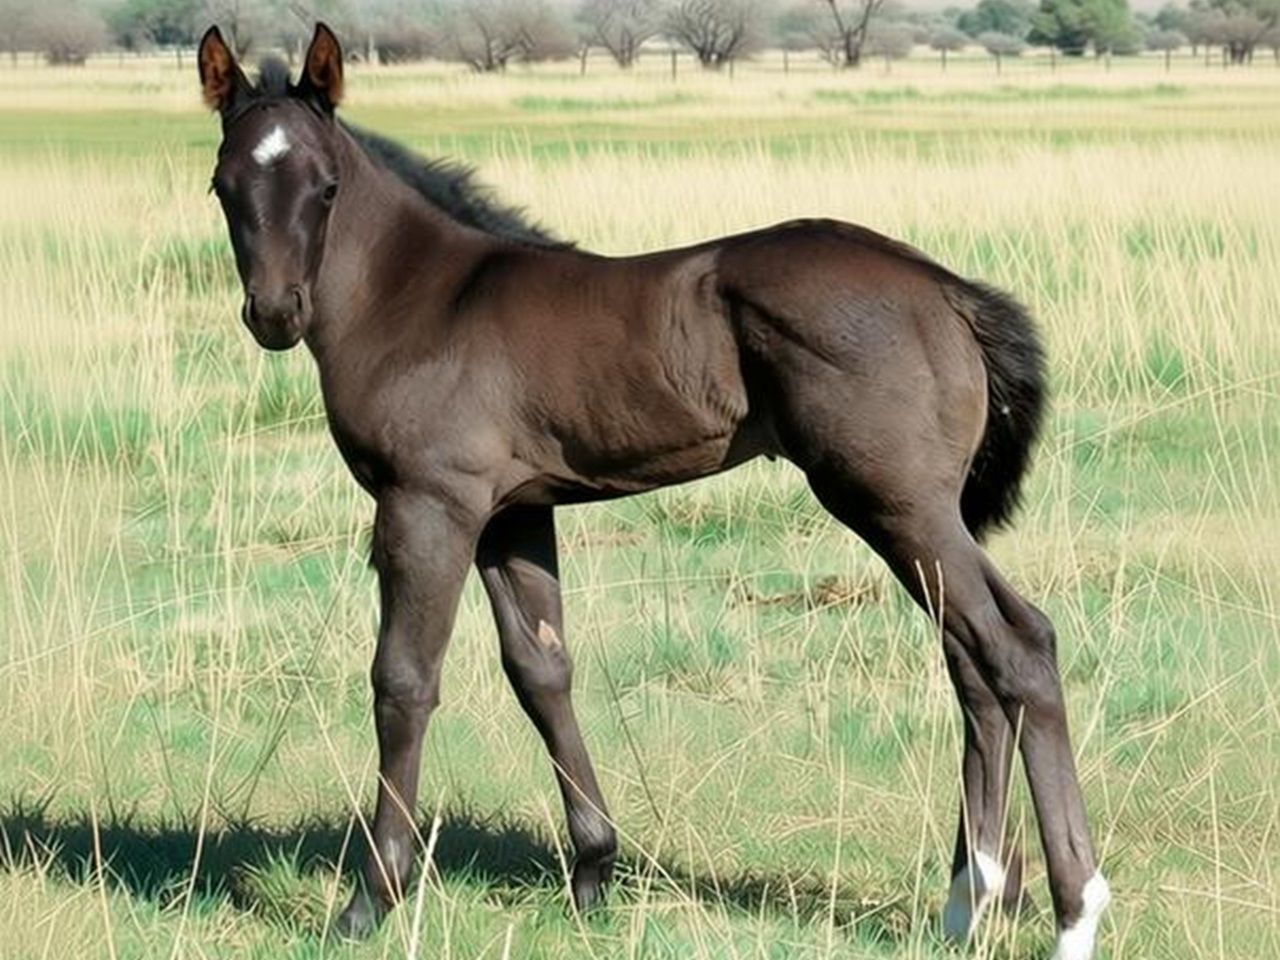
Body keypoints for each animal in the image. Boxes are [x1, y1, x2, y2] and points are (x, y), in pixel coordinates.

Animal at [197, 24, 1109, 959]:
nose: (275, 313)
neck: (420, 299)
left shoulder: (429, 504)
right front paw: (594, 871)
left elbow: (404, 679)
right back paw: (970, 899)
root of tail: (948, 290)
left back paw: (1073, 912)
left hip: (894, 503)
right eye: (224, 184)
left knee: (1014, 649)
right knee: (979, 658)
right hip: (920, 512)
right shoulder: (514, 513)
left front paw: (371, 896)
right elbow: (541, 670)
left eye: (326, 185)